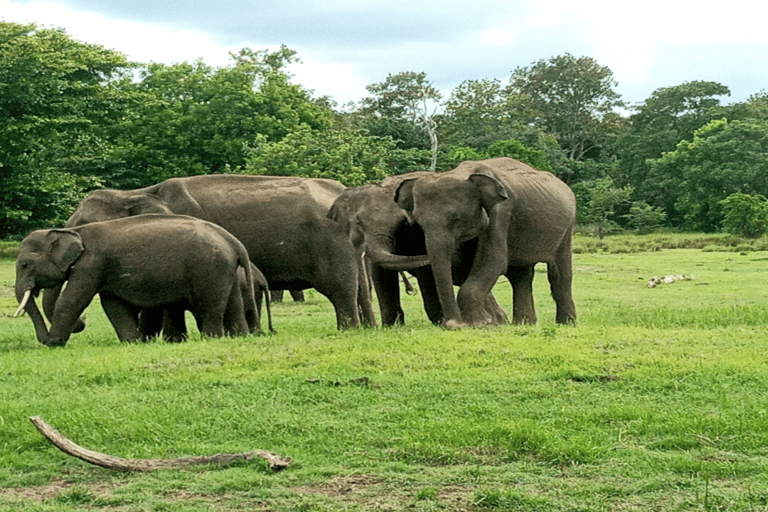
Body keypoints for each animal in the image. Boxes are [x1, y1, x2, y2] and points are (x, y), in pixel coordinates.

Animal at [15, 214, 258, 347]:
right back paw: (240, 336)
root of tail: (234, 241)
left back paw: (212, 338)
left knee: (210, 307)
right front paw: (132, 342)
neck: (74, 232)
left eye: (24, 265)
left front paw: (56, 344)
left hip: (209, 269)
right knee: (233, 305)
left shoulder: (92, 265)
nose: (47, 341)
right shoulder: (105, 269)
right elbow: (113, 305)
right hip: (225, 270)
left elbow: (72, 301)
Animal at [48, 175, 393, 329]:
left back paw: (348, 329)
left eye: (81, 225)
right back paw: (368, 329)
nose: (82, 324)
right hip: (349, 247)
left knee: (340, 290)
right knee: (359, 290)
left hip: (331, 245)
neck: (137, 192)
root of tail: (343, 191)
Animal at [328, 172, 506, 326]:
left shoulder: (418, 239)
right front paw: (391, 326)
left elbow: (426, 274)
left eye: (404, 223)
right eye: (358, 222)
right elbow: (381, 274)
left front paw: (440, 322)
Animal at [394, 157, 577, 328]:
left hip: (567, 228)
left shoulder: (501, 211)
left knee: (559, 275)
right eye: (419, 223)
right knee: (520, 276)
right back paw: (524, 324)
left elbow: (493, 260)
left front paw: (479, 324)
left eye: (456, 219)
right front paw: (486, 322)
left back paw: (566, 324)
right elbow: (463, 267)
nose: (453, 324)